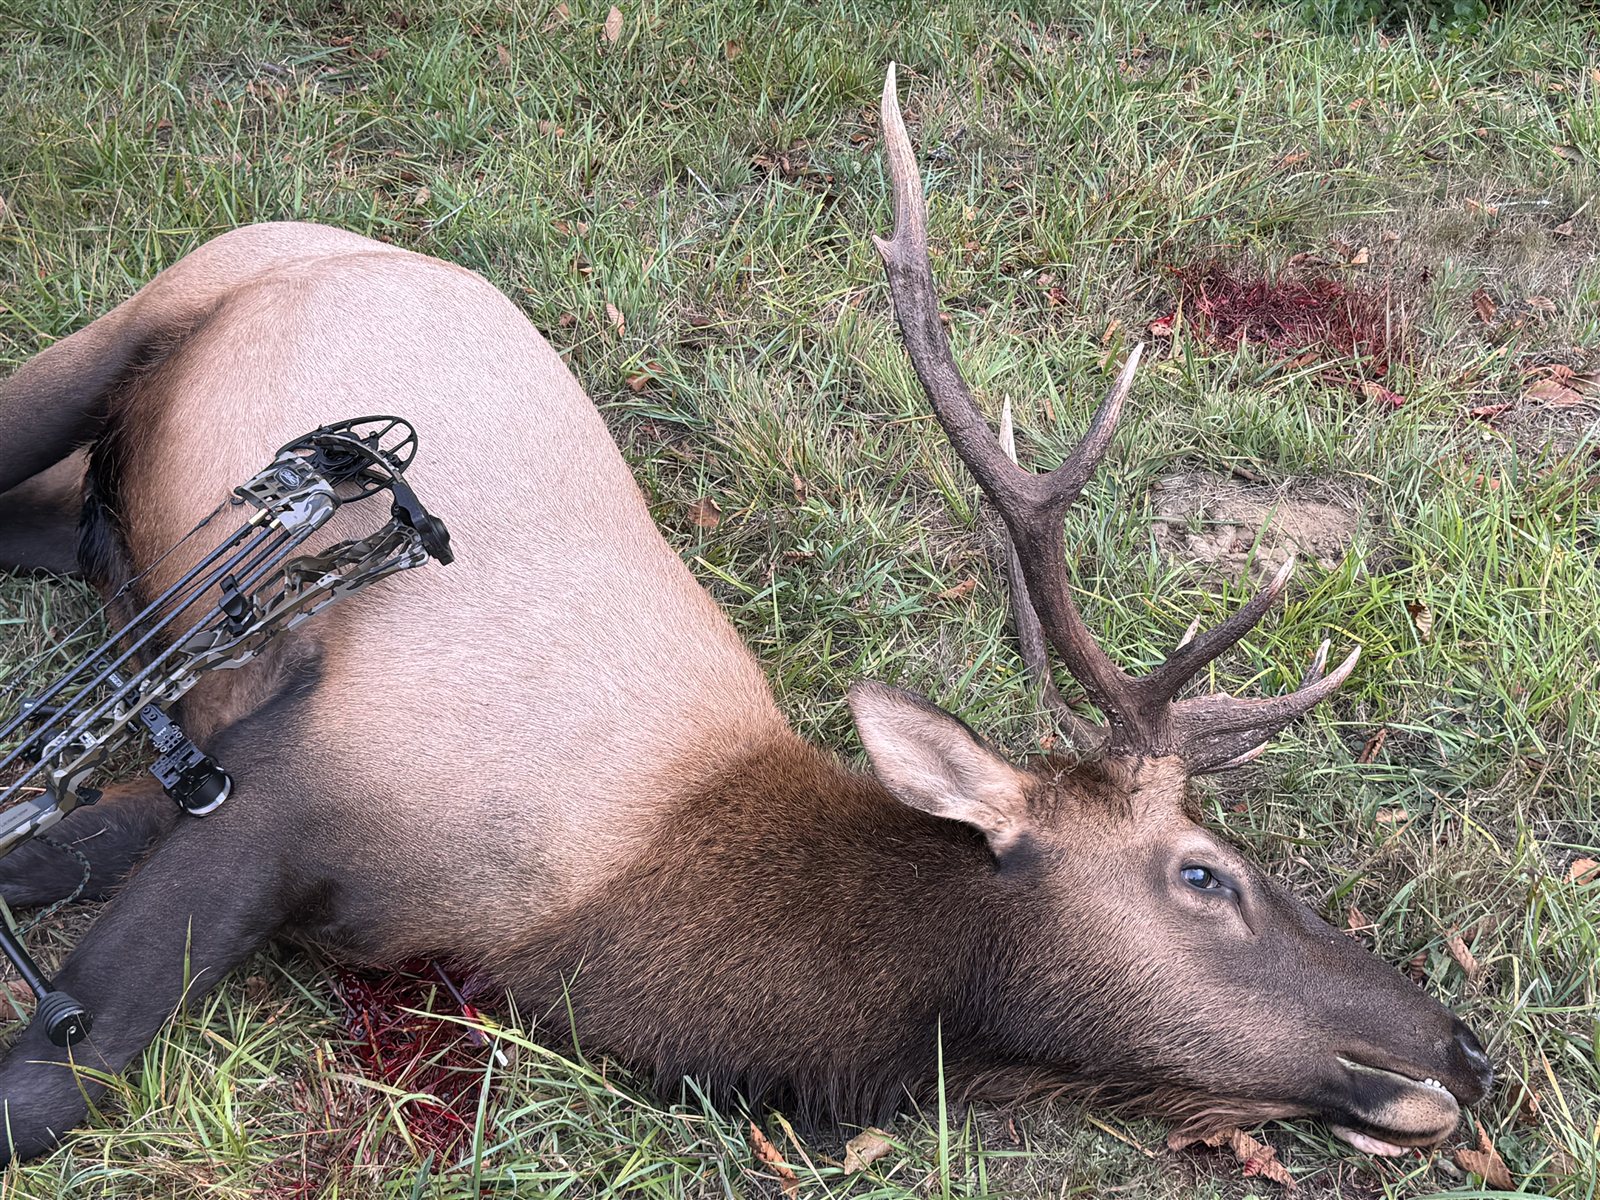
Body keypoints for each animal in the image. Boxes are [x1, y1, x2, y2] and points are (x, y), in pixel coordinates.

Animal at [0, 65, 1491, 1164]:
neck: (601, 909)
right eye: (1204, 875)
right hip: (130, 326)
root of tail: (321, 227)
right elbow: (51, 1086)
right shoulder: (290, 789)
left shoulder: (211, 765)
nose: (1462, 1049)